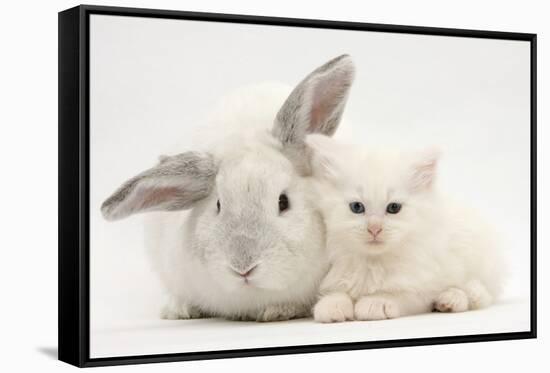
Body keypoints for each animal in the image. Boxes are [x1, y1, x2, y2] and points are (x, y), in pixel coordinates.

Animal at [308, 134, 506, 322]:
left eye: (394, 208)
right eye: (357, 207)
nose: (374, 229)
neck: (373, 262)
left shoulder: (422, 288)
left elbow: (400, 294)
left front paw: (375, 303)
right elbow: (336, 292)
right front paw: (332, 306)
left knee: (478, 293)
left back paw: (450, 300)